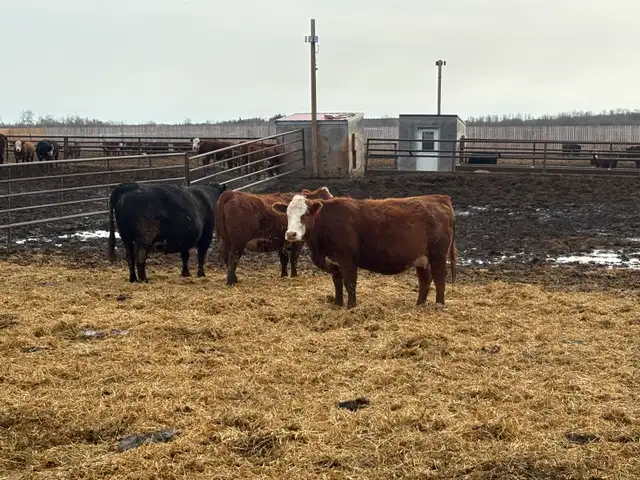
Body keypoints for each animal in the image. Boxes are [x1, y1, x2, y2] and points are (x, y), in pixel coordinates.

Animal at [272, 194, 457, 309]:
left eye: (306, 214)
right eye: (287, 214)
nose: (291, 234)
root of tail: (439, 198)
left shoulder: (347, 260)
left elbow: (350, 283)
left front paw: (351, 307)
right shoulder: (333, 262)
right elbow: (337, 283)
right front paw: (338, 304)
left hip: (438, 255)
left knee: (440, 278)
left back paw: (439, 305)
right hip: (421, 258)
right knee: (425, 280)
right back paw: (419, 305)